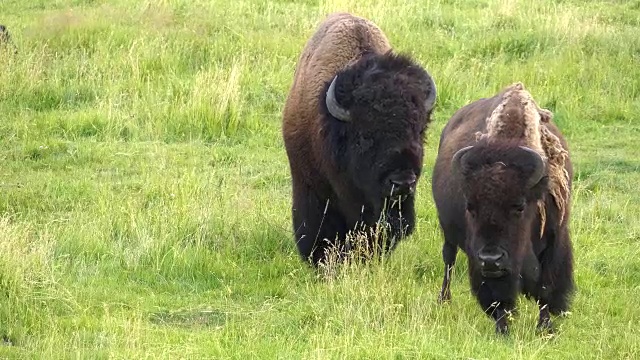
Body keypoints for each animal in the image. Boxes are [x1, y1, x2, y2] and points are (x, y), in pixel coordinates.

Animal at [430, 82, 576, 334]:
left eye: (519, 206)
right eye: (471, 207)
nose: (491, 259)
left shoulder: (554, 239)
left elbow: (546, 287)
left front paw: (545, 329)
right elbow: (498, 296)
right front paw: (503, 330)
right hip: (448, 232)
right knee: (448, 259)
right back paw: (444, 299)